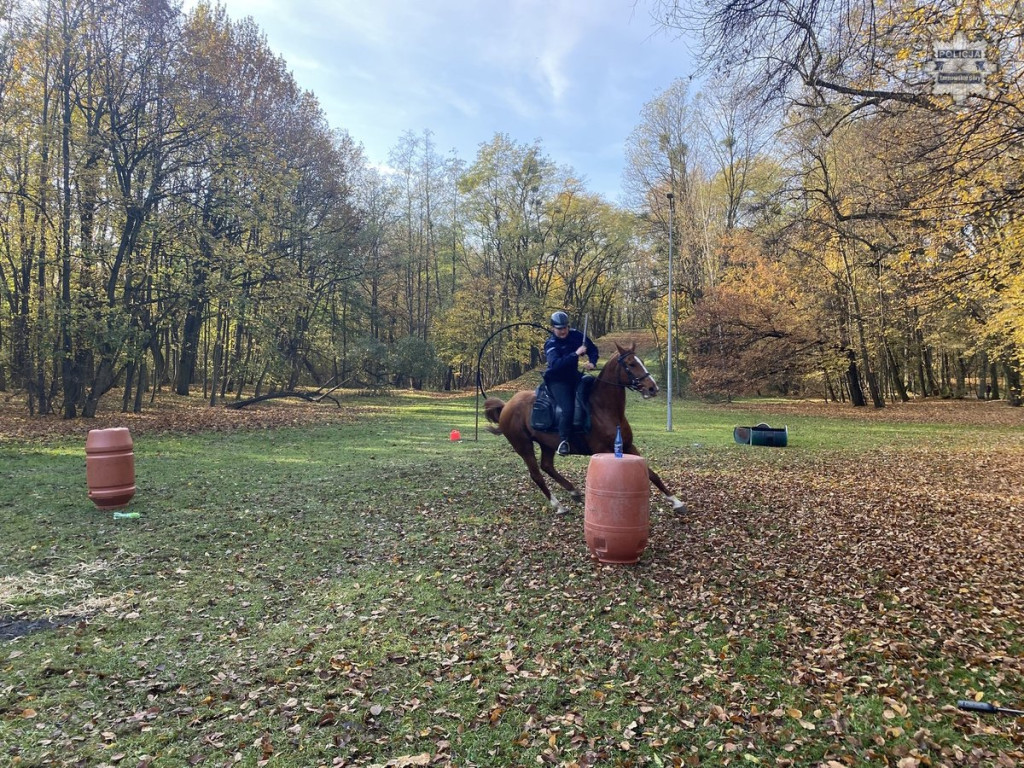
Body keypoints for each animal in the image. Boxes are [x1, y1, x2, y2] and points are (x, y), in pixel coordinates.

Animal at [481, 342, 688, 518]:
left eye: (641, 362)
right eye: (631, 364)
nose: (653, 388)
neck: (603, 408)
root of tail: (506, 406)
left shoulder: (629, 446)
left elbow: (652, 474)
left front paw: (676, 502)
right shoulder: (604, 450)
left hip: (547, 444)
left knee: (547, 466)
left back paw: (573, 492)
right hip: (523, 446)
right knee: (537, 475)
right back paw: (558, 505)